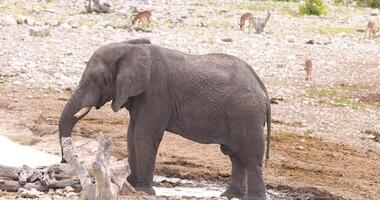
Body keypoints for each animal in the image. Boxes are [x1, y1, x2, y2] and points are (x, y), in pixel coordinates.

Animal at [58, 38, 272, 199]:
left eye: (95, 80)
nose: (62, 161)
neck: (129, 47)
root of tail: (261, 86)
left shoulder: (156, 93)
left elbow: (143, 135)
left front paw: (144, 191)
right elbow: (131, 134)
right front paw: (132, 188)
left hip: (246, 115)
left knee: (250, 157)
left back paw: (253, 197)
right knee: (236, 156)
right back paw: (229, 195)